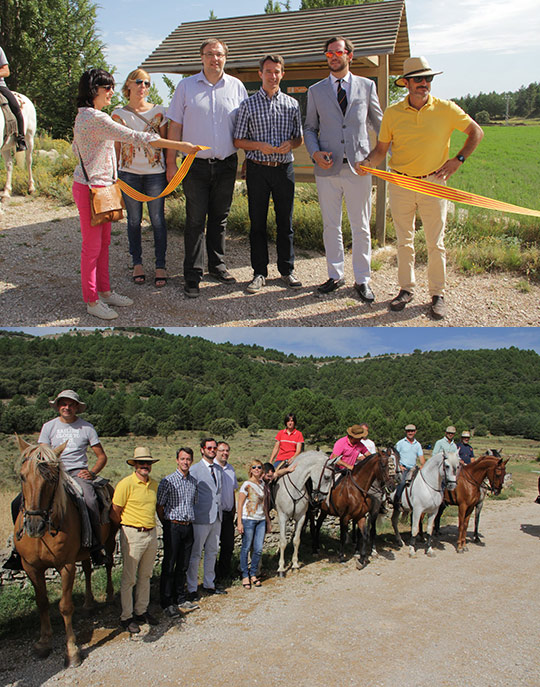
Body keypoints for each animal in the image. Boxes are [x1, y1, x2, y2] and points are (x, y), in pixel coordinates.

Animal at [14, 438, 116, 668]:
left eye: (52, 479)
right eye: (22, 476)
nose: (34, 525)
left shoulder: (66, 565)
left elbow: (65, 606)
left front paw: (72, 652)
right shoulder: (30, 566)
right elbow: (42, 601)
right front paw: (43, 643)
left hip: (109, 539)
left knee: (108, 564)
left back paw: (109, 595)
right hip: (84, 551)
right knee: (87, 569)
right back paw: (88, 604)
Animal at [276, 448, 336, 576]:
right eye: (327, 477)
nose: (322, 499)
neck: (295, 487)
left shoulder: (301, 517)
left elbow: (296, 540)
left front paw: (295, 565)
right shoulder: (282, 517)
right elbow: (283, 541)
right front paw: (281, 568)